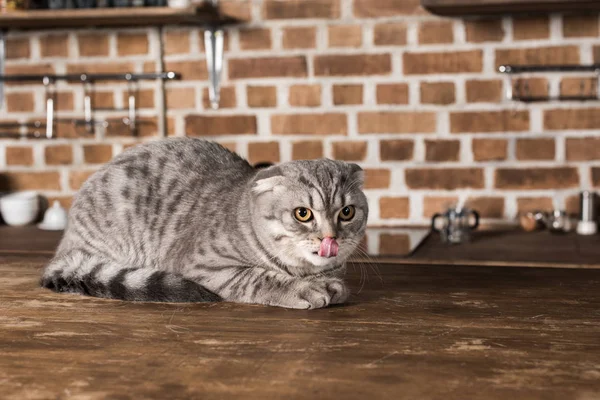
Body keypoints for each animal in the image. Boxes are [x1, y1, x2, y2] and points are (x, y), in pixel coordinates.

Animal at [39, 138, 368, 310]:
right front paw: (305, 289)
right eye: (303, 214)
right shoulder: (207, 266)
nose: (331, 238)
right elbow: (261, 277)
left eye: (347, 212)